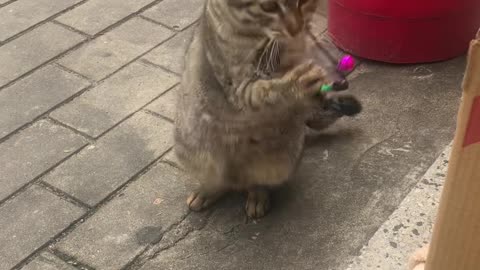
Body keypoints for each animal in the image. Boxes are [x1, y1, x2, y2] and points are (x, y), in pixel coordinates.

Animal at [172, 0, 360, 217]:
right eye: (268, 6)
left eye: (303, 2)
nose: (295, 28)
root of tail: (237, 177)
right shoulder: (236, 83)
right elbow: (263, 90)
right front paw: (295, 85)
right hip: (191, 148)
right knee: (221, 180)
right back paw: (208, 190)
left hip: (282, 160)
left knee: (256, 180)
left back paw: (256, 195)